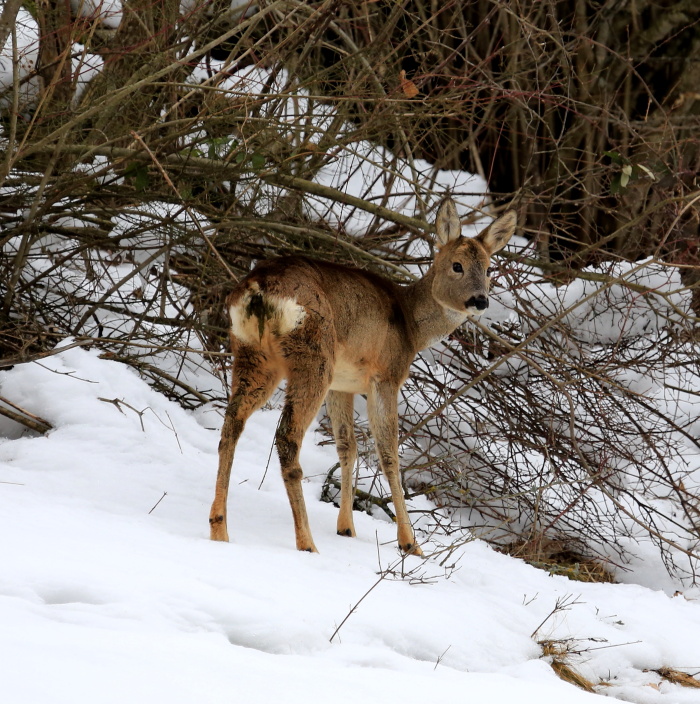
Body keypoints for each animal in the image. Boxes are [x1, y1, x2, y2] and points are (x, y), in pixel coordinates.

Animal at [208, 197, 516, 556]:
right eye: (457, 265)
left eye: (489, 268)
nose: (480, 300)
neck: (411, 326)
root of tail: (259, 290)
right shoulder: (385, 376)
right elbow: (388, 453)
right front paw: (410, 543)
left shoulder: (343, 384)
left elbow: (347, 446)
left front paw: (346, 528)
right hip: (314, 356)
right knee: (286, 436)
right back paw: (307, 543)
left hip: (253, 353)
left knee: (232, 422)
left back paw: (220, 529)